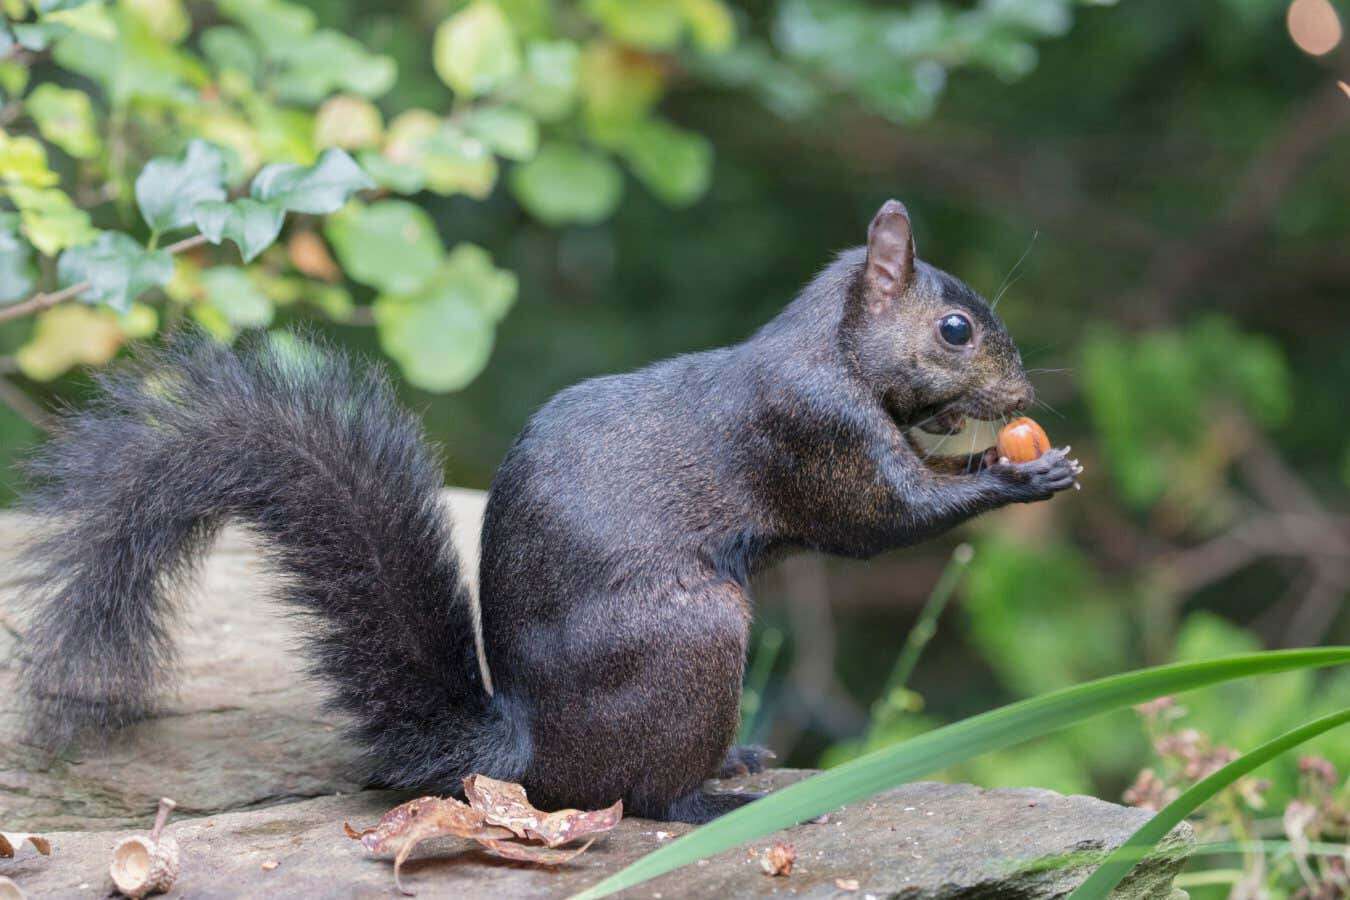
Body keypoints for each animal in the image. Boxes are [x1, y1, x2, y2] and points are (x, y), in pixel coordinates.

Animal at [15, 202, 1080, 825]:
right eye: (955, 329)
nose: (1023, 393)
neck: (830, 348)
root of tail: (522, 752)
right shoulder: (814, 434)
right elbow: (886, 516)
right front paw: (1018, 476)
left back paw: (737, 755)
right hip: (694, 638)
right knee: (635, 797)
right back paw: (708, 800)